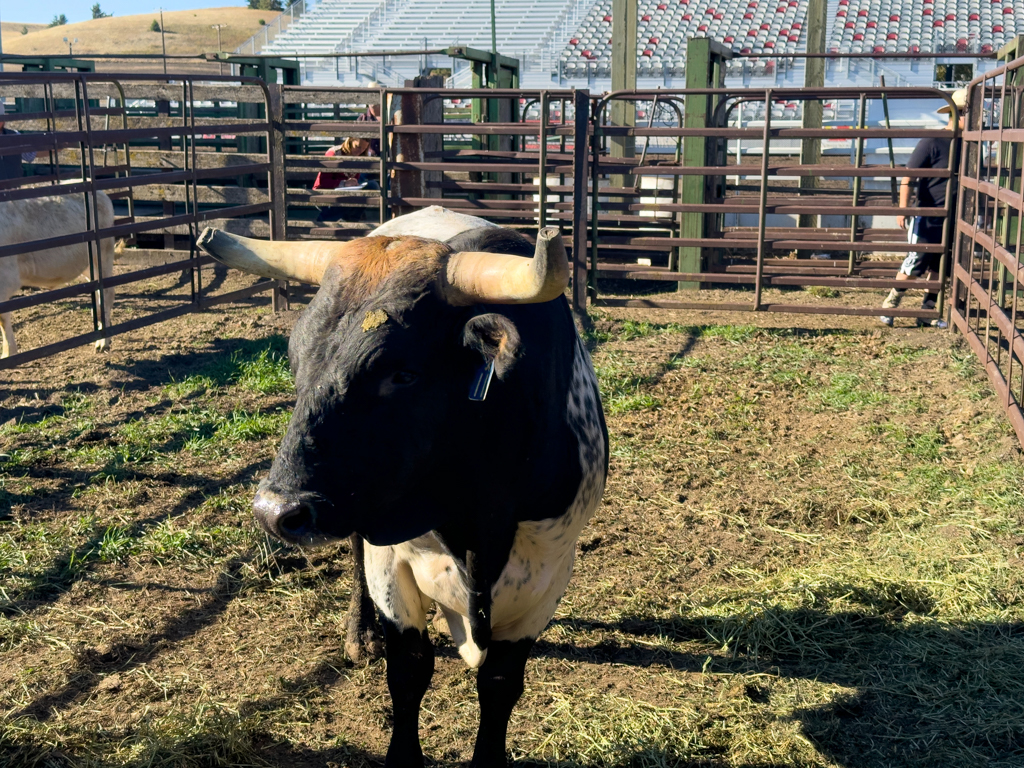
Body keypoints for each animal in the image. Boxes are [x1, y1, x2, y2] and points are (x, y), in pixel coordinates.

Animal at [1, 192, 115, 360]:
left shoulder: (5, 280)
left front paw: (8, 354)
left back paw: (103, 342)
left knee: (106, 294)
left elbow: (2, 319)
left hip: (103, 254)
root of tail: (103, 195)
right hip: (88, 266)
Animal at [199, 207, 606, 765]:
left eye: (403, 374)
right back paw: (360, 635)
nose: (274, 511)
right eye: (296, 359)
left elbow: (500, 683)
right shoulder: (392, 559)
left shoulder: (549, 572)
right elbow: (410, 669)